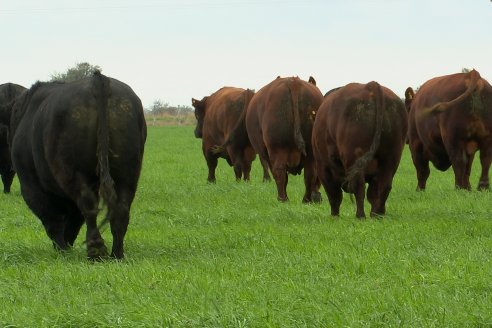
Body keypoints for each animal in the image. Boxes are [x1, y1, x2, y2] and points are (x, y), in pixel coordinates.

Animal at [9, 72, 146, 258]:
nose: (67, 245)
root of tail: (99, 79)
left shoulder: (31, 184)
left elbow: (53, 218)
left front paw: (61, 249)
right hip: (128, 173)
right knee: (121, 209)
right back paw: (117, 254)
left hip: (75, 171)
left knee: (88, 205)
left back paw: (95, 251)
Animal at [314, 81, 410, 218]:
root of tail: (370, 86)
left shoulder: (323, 166)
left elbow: (334, 195)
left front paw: (334, 216)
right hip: (391, 158)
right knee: (384, 186)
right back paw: (377, 215)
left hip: (354, 157)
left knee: (358, 187)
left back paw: (360, 216)